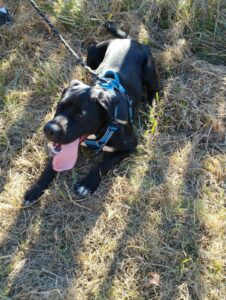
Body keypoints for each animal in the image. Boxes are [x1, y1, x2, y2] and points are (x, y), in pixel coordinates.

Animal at [22, 24, 157, 206]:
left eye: (81, 115)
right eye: (60, 106)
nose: (49, 129)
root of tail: (130, 40)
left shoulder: (129, 146)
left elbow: (104, 164)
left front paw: (87, 183)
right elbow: (51, 166)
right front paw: (36, 189)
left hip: (149, 71)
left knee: (154, 89)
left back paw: (150, 103)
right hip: (91, 54)